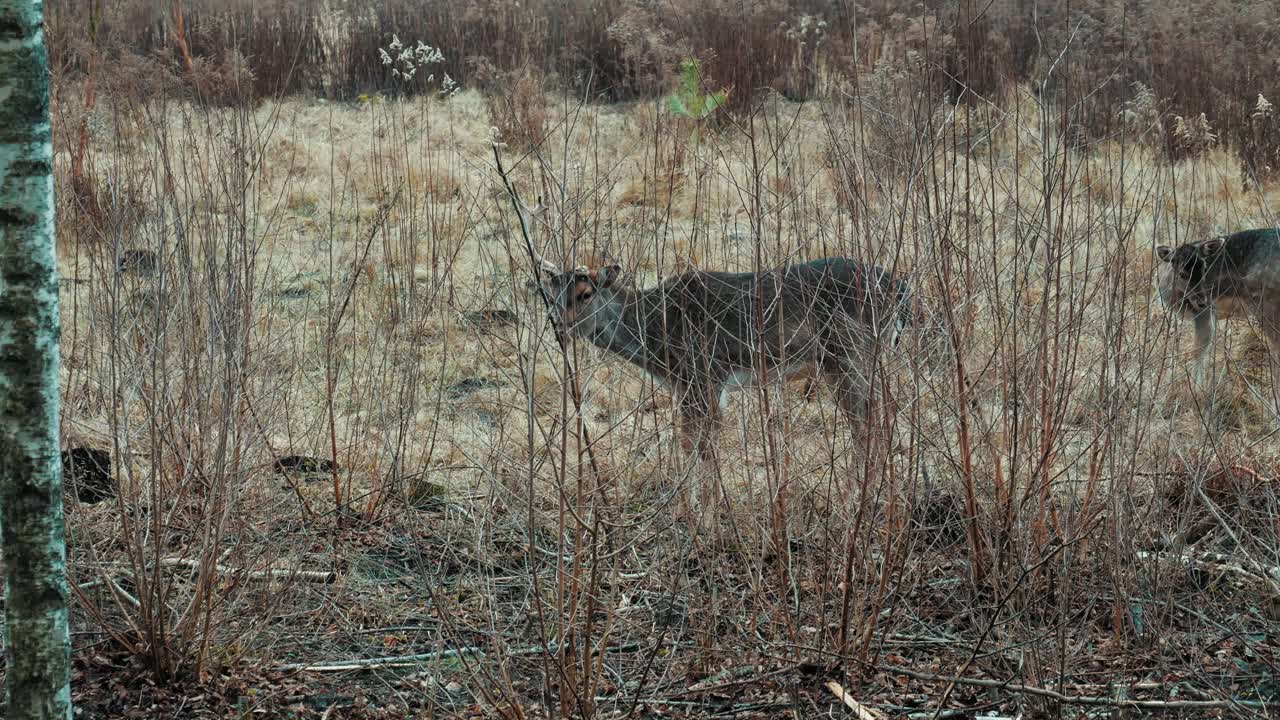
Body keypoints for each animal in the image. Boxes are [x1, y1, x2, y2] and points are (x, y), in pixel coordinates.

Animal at [521, 203, 915, 461]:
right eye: (549, 294)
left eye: (585, 293)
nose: (559, 324)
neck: (656, 335)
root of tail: (900, 288)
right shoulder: (693, 386)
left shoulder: (704, 375)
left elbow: (697, 449)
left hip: (850, 353)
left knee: (867, 425)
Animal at [1155, 227, 1280, 391]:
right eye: (1182, 274)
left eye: (1204, 268)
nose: (1202, 301)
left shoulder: (1204, 312)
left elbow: (1199, 350)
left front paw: (1197, 389)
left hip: (1267, 304)